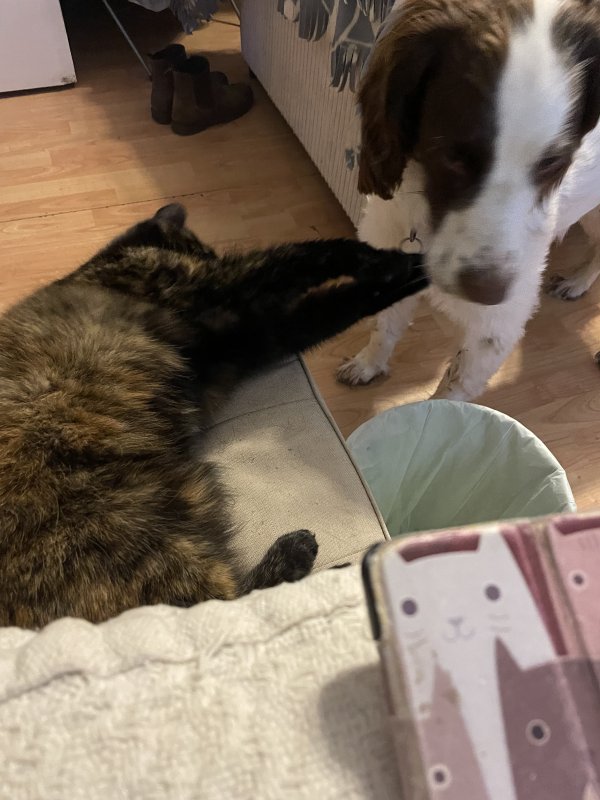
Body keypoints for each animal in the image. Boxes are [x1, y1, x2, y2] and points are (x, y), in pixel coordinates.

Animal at [0, 203, 428, 628]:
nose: (207, 256)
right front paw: (390, 260)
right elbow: (306, 254)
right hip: (139, 535)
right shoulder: (218, 284)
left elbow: (344, 302)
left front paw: (416, 273)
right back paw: (312, 561)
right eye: (201, 252)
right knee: (224, 608)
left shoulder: (255, 332)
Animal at [337, 0, 600, 401]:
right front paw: (368, 364)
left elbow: (452, 391)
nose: (488, 292)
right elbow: (384, 328)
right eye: (452, 156)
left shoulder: (495, 329)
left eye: (553, 163)